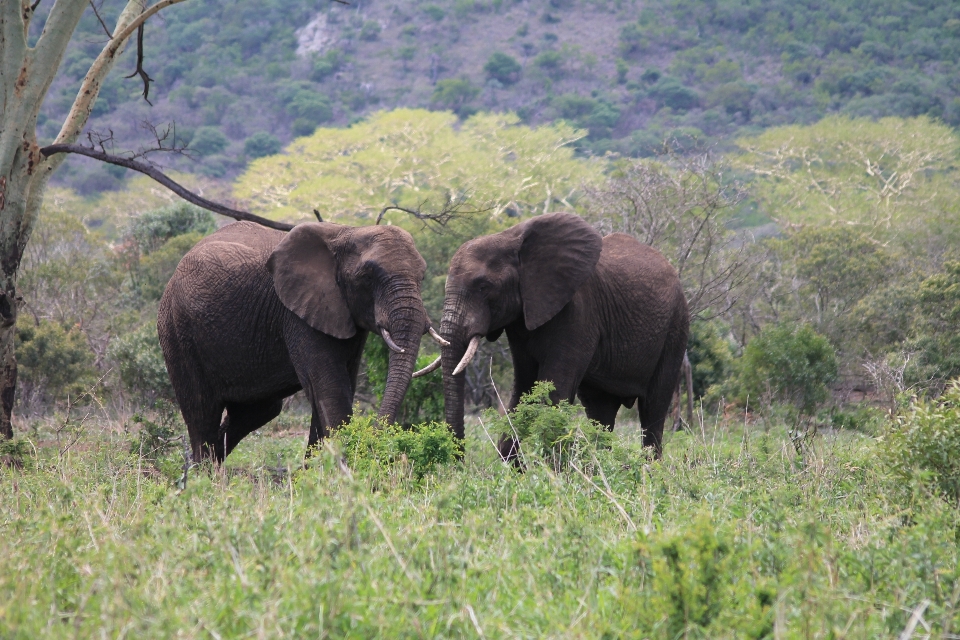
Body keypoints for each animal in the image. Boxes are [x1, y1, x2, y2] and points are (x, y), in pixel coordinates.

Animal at [157, 220, 446, 460]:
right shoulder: (297, 315)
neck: (348, 231)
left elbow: (339, 387)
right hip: (177, 330)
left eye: (422, 276)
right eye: (367, 277)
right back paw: (204, 480)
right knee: (201, 412)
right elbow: (329, 389)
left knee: (257, 411)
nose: (376, 440)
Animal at [434, 212, 688, 458]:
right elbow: (524, 388)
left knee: (653, 407)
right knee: (600, 410)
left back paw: (649, 467)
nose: (458, 461)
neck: (511, 237)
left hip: (676, 327)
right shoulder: (520, 320)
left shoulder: (578, 312)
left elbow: (554, 392)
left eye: (483, 287)